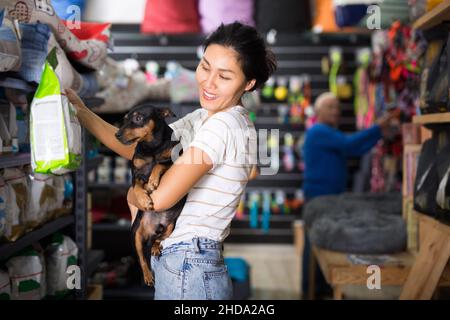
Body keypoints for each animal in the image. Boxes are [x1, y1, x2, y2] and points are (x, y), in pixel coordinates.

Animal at [117, 104, 187, 286]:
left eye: (138, 118)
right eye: (124, 119)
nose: (117, 134)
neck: (152, 146)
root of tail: (153, 231)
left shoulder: (174, 161)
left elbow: (159, 164)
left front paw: (153, 181)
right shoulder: (136, 174)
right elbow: (137, 187)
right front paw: (144, 198)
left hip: (170, 227)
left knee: (160, 239)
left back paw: (156, 247)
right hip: (136, 235)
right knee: (142, 258)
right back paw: (148, 276)